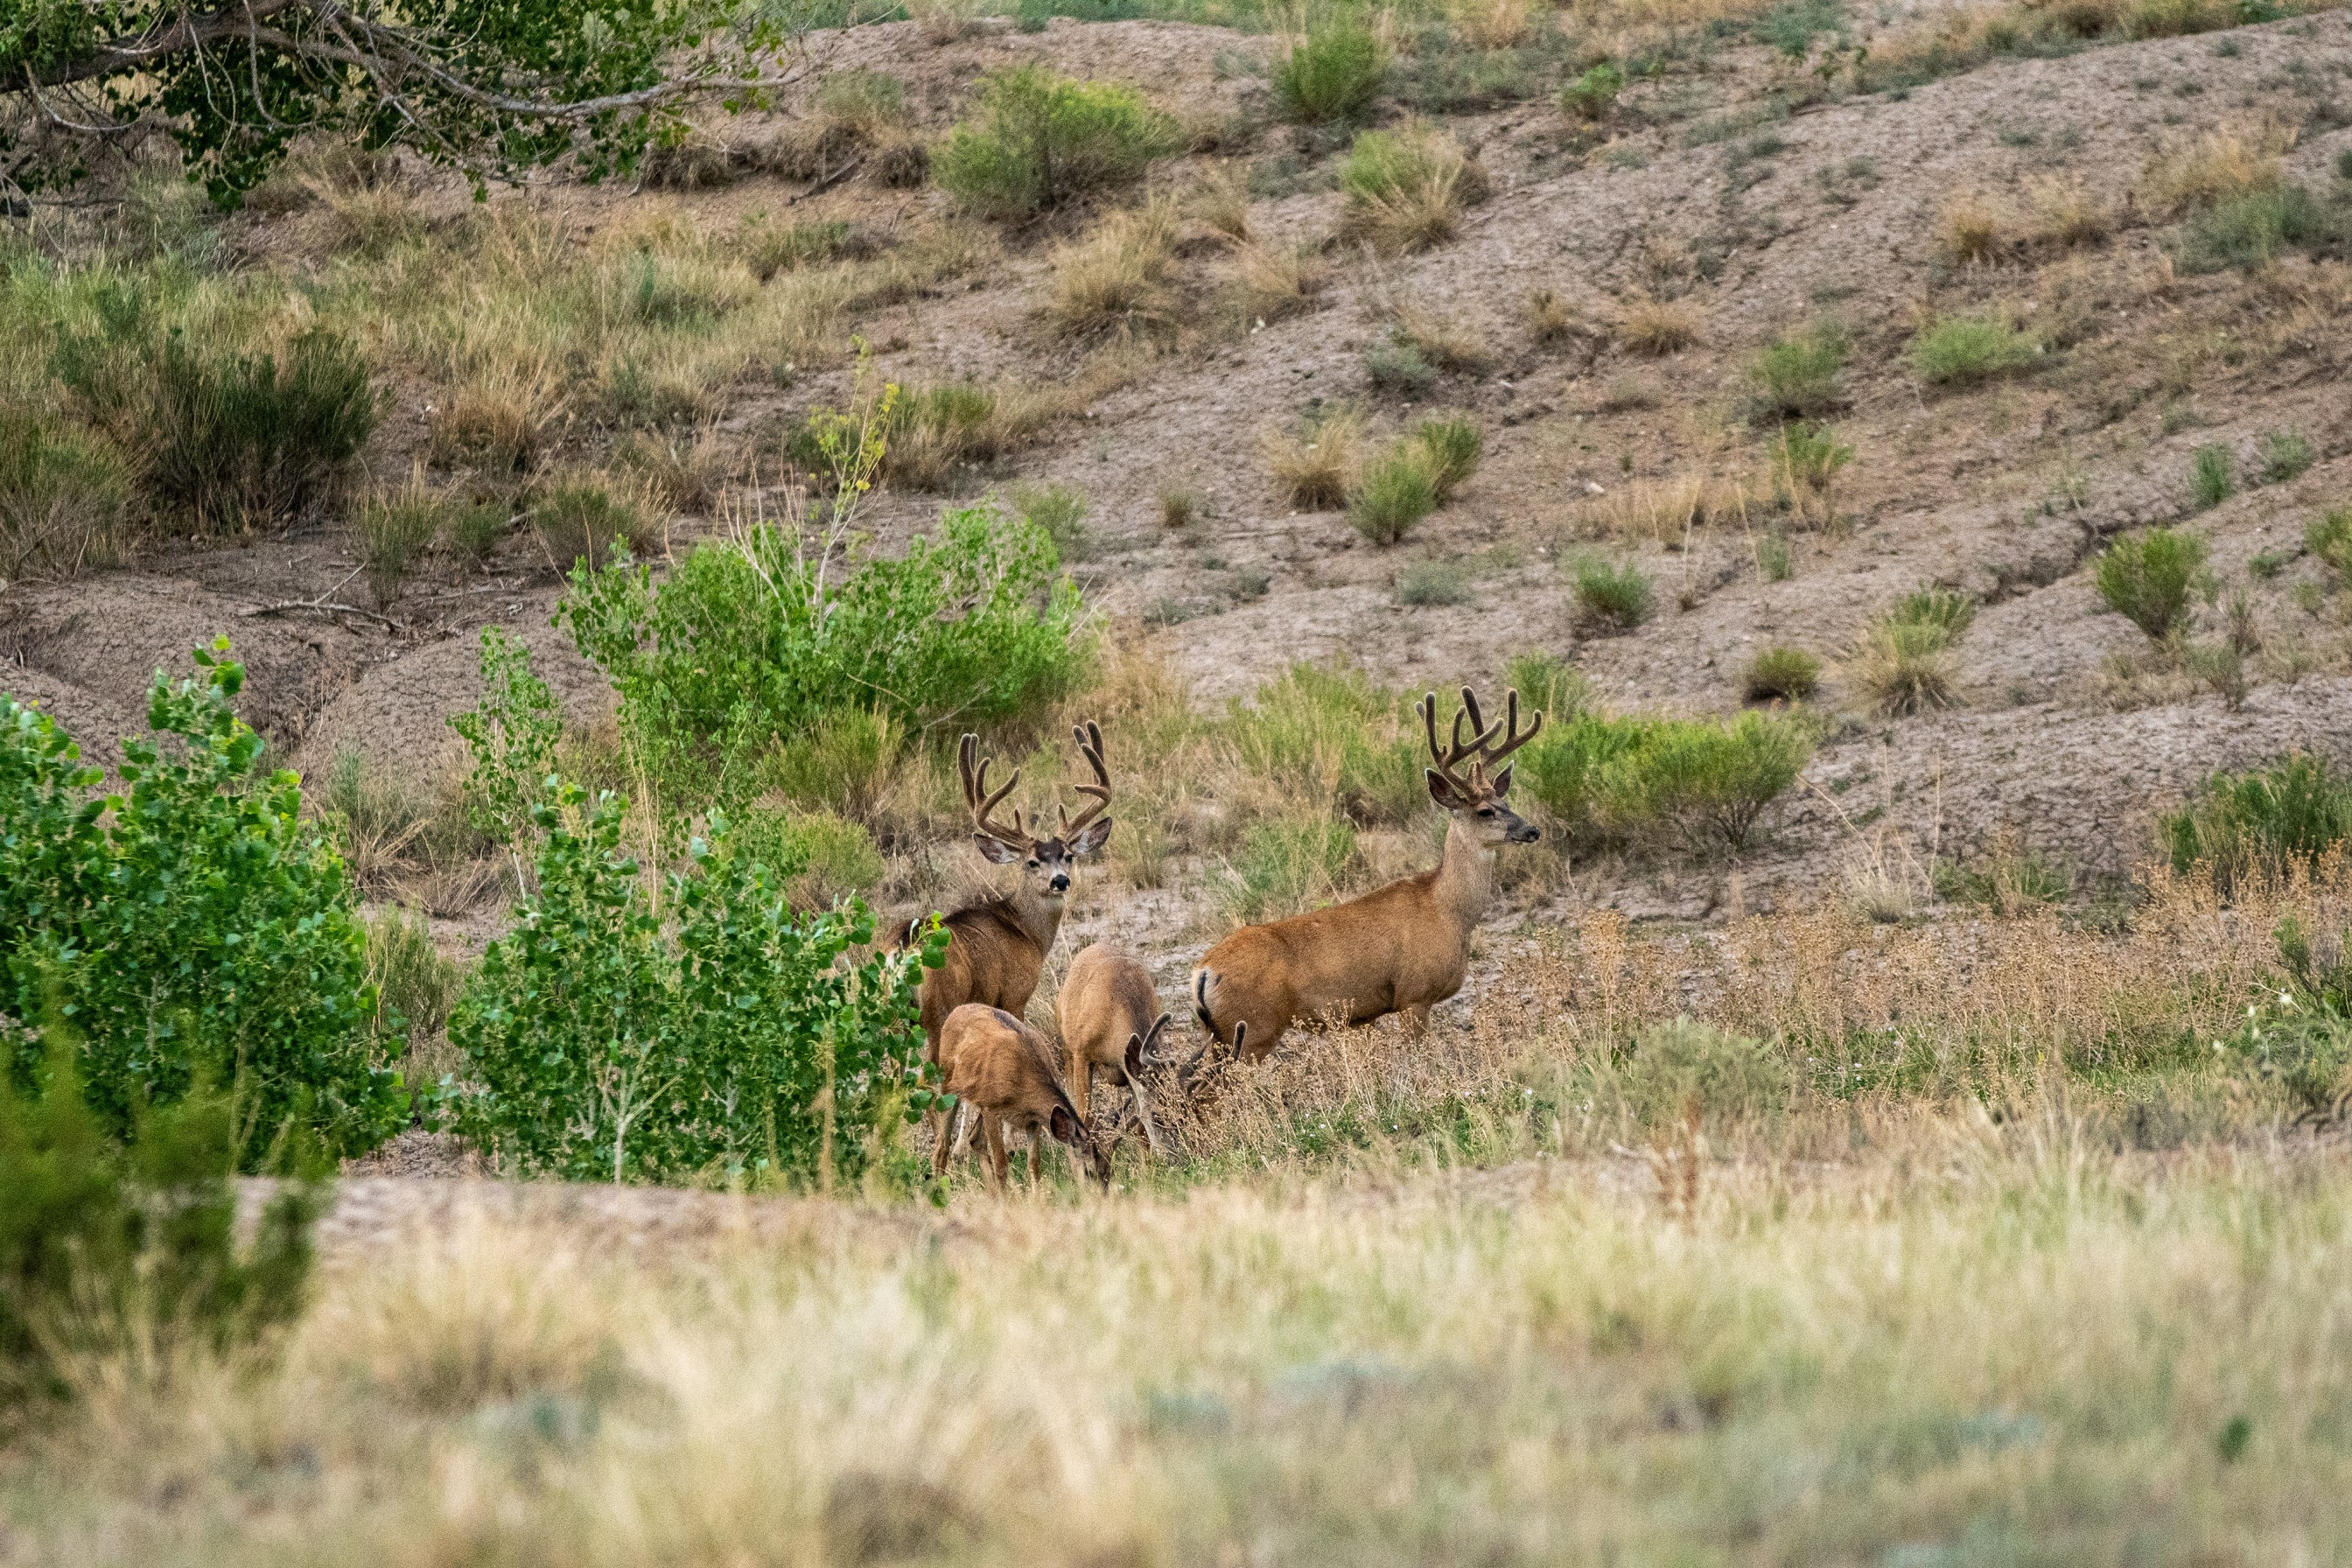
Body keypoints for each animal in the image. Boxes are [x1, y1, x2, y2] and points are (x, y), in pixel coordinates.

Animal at [898, 724, 1119, 1067]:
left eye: (1068, 856)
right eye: (1032, 862)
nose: (1060, 881)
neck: (1025, 931)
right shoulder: (1015, 994)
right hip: (938, 1011)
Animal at [927, 1005, 1110, 1189]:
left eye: (1107, 1171)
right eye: (1088, 1172)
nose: (1099, 1194)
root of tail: (956, 1011)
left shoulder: (1033, 1119)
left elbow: (1034, 1165)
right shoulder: (990, 1107)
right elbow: (1001, 1164)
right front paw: (1005, 1197)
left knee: (974, 1138)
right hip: (949, 1085)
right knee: (942, 1143)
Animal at [1054, 945, 1171, 1166]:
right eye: (1157, 1115)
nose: (1176, 1160)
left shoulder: (1129, 1068)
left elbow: (1140, 1128)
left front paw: (1147, 1168)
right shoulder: (1082, 1054)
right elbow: (1084, 1116)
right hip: (1065, 1043)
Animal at [1194, 686, 1543, 1067]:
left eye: (1506, 801)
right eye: (1484, 811)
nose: (1533, 830)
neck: (1448, 911)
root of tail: (1204, 970)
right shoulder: (1414, 995)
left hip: (1223, 1035)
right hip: (1254, 1029)